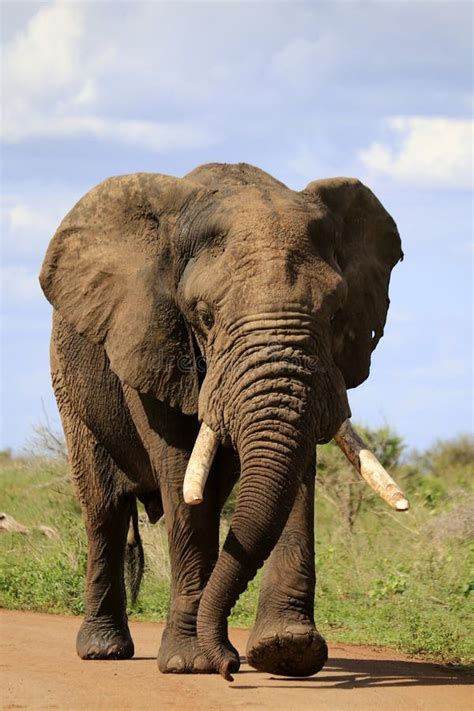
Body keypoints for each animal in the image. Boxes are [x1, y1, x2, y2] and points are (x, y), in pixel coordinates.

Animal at [39, 163, 404, 684]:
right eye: (205, 316)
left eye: (336, 314)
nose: (231, 670)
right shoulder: (152, 334)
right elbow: (179, 471)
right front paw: (191, 665)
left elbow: (297, 469)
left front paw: (286, 652)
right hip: (70, 388)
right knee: (104, 508)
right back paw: (103, 651)